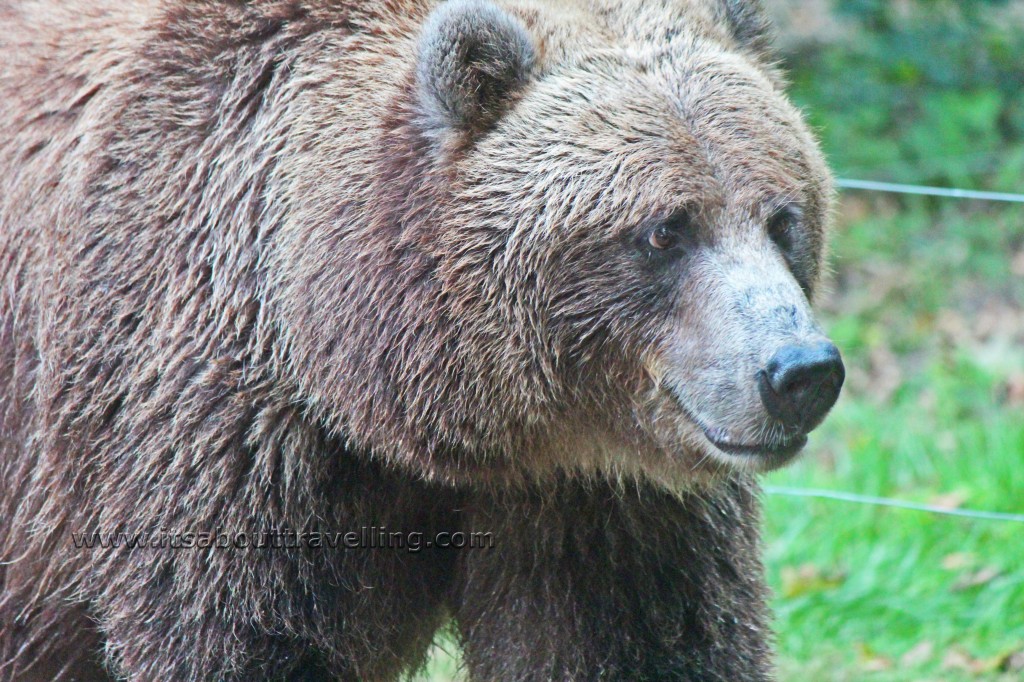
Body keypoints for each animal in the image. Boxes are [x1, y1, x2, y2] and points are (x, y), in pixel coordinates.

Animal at [2, 0, 839, 675]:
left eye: (783, 218)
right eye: (665, 229)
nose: (800, 370)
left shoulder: (604, 504)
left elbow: (635, 642)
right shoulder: (225, 436)